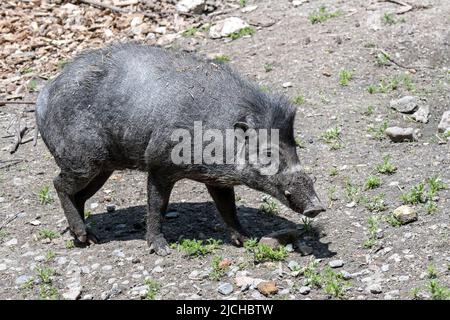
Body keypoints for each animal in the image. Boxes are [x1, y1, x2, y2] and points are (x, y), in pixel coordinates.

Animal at [35, 43, 324, 256]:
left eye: (295, 147)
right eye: (267, 153)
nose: (317, 208)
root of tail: (43, 94)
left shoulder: (217, 179)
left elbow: (227, 207)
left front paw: (246, 239)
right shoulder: (159, 165)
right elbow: (157, 206)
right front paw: (161, 250)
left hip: (102, 168)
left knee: (79, 196)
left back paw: (89, 238)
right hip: (83, 160)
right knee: (58, 184)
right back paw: (83, 236)